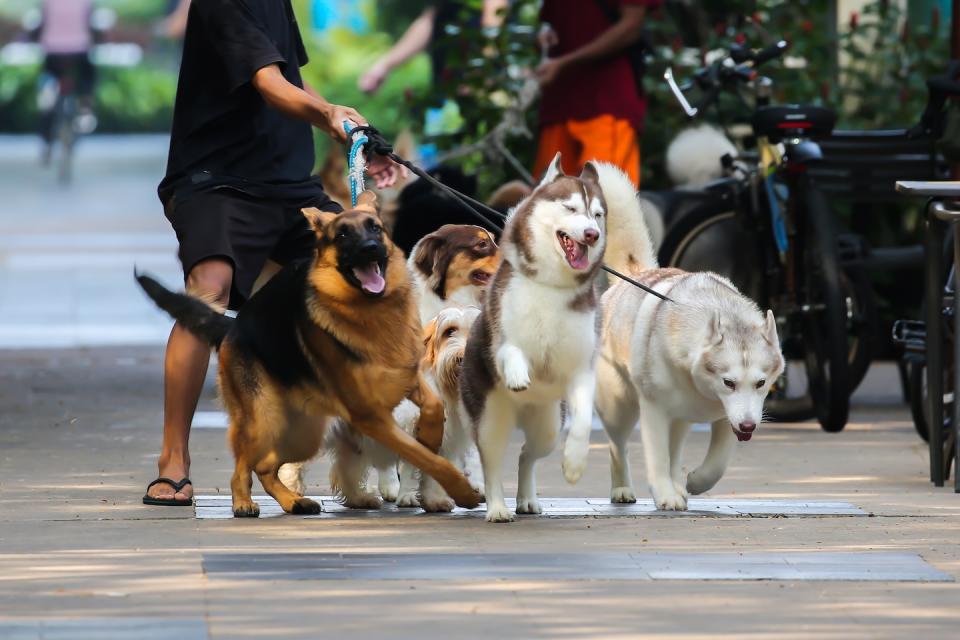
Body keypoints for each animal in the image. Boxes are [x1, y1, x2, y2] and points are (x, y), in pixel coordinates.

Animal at [139, 190, 484, 516]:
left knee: (267, 465)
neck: (373, 316)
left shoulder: (407, 379)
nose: (370, 247)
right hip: (267, 420)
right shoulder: (372, 416)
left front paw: (432, 441)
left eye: (375, 227)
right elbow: (424, 458)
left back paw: (294, 501)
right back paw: (246, 502)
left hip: (303, 433)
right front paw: (458, 491)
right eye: (342, 235)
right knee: (247, 466)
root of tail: (235, 325)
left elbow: (433, 412)